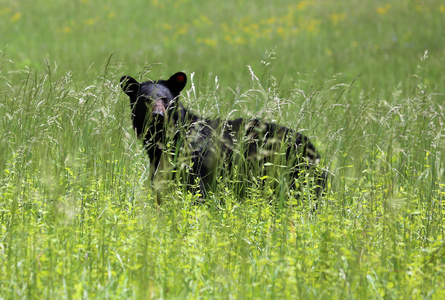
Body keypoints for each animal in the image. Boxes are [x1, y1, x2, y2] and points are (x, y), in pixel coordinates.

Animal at [119, 72, 324, 205]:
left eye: (164, 98)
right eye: (145, 99)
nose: (158, 116)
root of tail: (313, 148)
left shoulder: (198, 161)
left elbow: (197, 191)